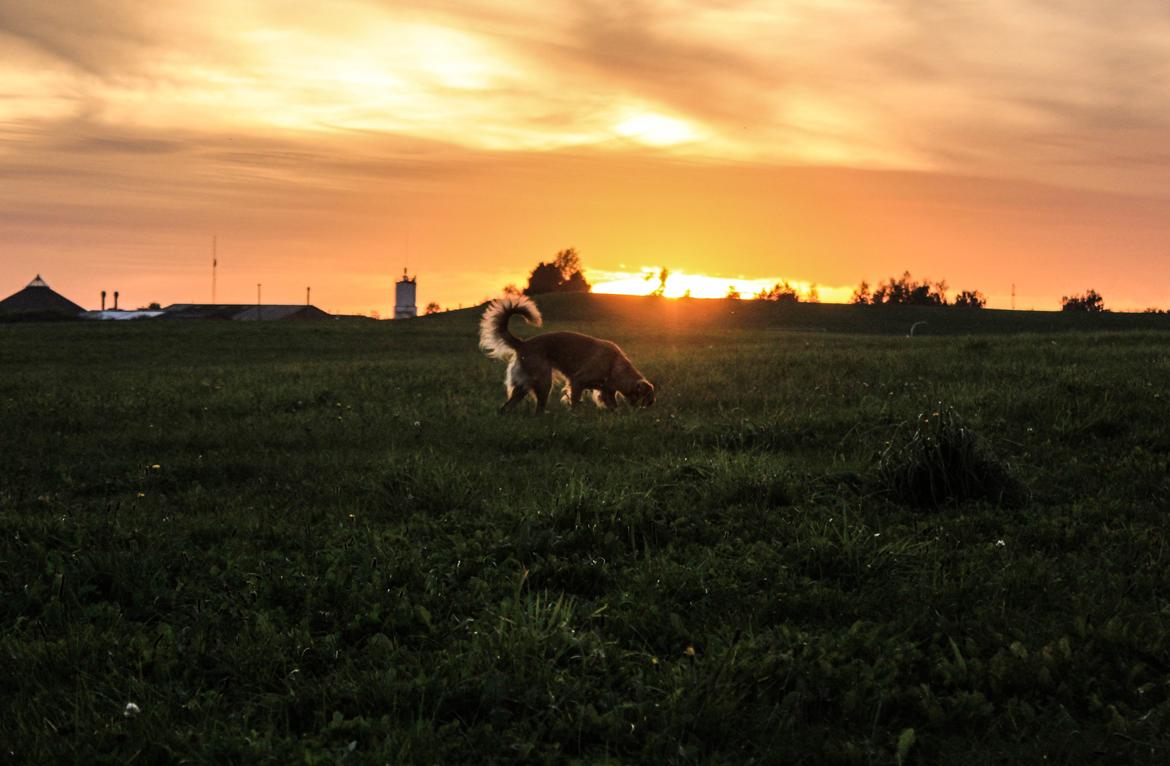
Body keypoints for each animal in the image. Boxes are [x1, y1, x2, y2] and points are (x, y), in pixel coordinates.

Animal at [479, 294, 655, 413]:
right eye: (647, 399)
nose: (648, 409)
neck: (614, 365)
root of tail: (523, 343)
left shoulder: (607, 392)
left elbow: (613, 406)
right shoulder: (578, 381)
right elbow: (575, 402)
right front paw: (575, 416)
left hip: (523, 386)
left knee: (506, 407)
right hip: (544, 381)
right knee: (537, 408)